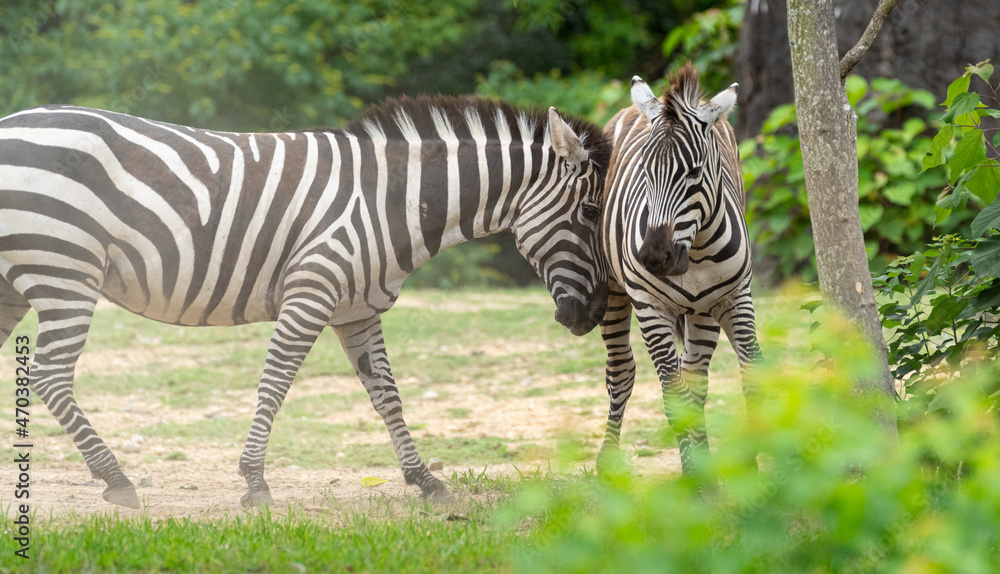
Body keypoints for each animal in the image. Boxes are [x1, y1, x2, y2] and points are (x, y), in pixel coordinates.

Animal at [0, 97, 608, 510]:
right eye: (590, 213)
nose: (592, 317)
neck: (396, 202)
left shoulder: (358, 311)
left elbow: (388, 398)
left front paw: (426, 481)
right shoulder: (312, 290)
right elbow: (275, 383)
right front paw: (254, 482)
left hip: (19, 283)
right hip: (65, 268)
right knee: (51, 375)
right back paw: (117, 480)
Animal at [596, 64, 760, 482]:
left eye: (695, 172)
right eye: (643, 170)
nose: (655, 257)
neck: (695, 253)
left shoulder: (734, 299)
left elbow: (753, 381)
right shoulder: (651, 308)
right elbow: (673, 398)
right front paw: (699, 483)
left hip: (702, 314)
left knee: (695, 381)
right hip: (614, 292)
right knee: (620, 371)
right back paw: (608, 462)